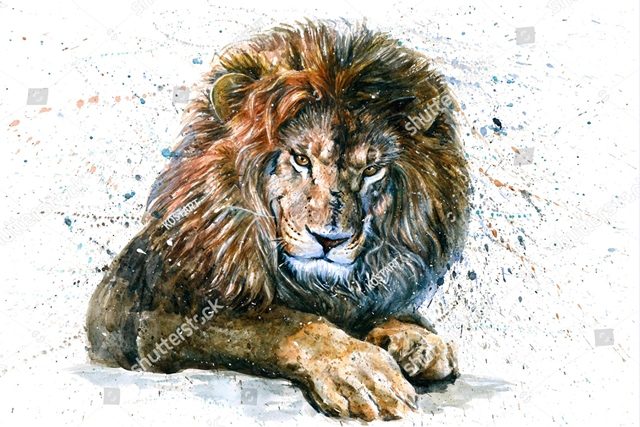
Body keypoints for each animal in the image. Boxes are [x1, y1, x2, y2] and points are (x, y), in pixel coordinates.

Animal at [86, 20, 470, 421]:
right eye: (300, 159)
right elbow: (285, 323)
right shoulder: (146, 318)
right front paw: (360, 370)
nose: (329, 240)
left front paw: (417, 340)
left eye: (372, 170)